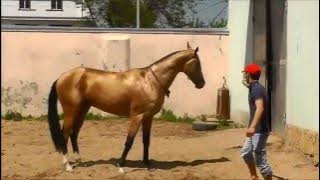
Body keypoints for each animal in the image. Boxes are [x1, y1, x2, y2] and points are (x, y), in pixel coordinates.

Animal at [48, 42, 205, 172]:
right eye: (197, 63)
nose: (202, 84)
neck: (151, 82)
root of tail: (62, 77)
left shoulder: (148, 117)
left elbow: (146, 141)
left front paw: (147, 164)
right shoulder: (137, 117)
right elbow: (129, 141)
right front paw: (121, 165)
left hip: (82, 110)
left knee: (74, 133)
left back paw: (79, 160)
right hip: (71, 111)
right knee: (65, 134)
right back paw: (67, 165)